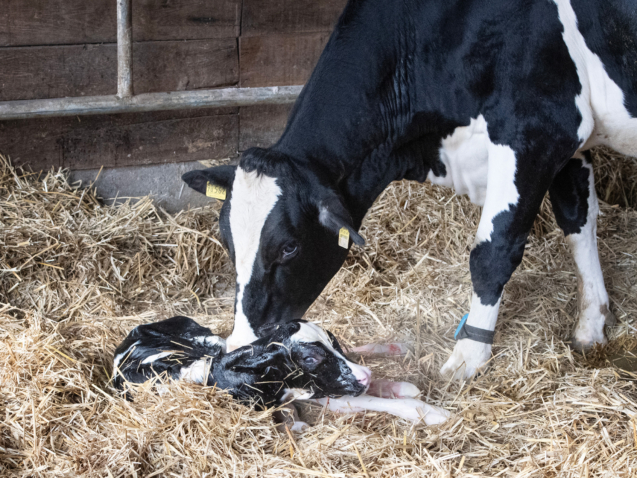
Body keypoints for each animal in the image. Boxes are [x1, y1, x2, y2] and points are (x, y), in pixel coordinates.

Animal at [112, 318, 448, 426]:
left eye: (334, 341)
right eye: (310, 358)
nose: (364, 375)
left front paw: (401, 386)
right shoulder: (318, 391)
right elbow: (365, 399)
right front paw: (430, 413)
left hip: (212, 339)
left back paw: (394, 347)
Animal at [181, 0, 632, 380]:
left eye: (289, 247)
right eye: (226, 239)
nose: (241, 345)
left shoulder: (537, 129)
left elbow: (493, 253)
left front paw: (468, 357)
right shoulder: (571, 141)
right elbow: (578, 221)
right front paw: (591, 323)